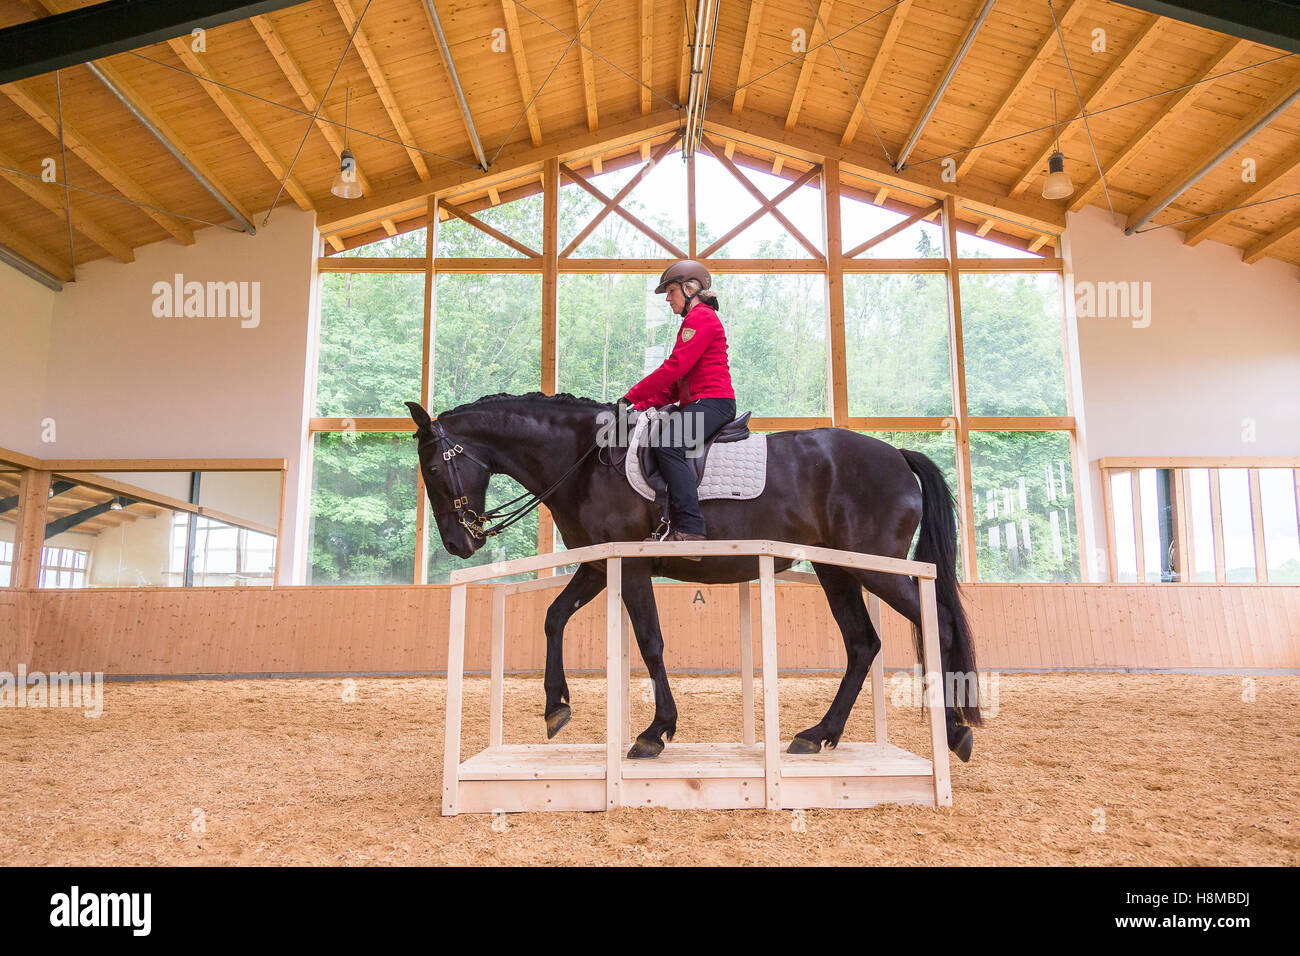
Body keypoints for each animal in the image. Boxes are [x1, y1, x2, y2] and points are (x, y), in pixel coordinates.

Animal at [406, 392, 981, 762]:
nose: (459, 544)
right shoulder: (598, 565)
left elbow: (651, 642)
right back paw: (818, 735)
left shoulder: (631, 566)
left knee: (937, 625)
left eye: (431, 469)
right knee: (863, 644)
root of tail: (896, 455)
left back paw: (955, 731)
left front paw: (655, 733)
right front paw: (555, 708)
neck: (586, 460)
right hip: (836, 570)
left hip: (872, 568)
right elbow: (553, 617)